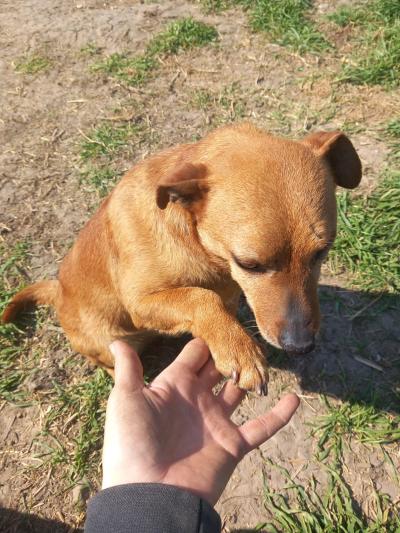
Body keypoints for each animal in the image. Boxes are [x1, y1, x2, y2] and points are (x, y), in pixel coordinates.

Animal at [2, 123, 362, 393]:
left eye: (322, 251)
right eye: (249, 264)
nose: (300, 345)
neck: (202, 249)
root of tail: (58, 292)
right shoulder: (141, 302)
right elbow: (199, 297)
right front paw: (239, 349)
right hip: (108, 342)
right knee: (110, 365)